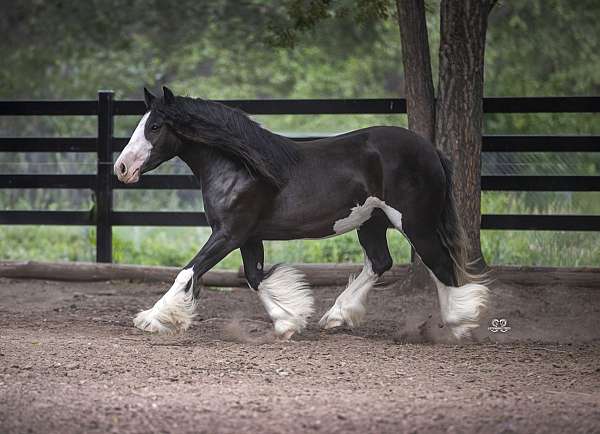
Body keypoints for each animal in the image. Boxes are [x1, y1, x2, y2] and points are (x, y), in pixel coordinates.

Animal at [112, 86, 488, 340]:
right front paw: (288, 322)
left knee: (440, 264)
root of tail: (431, 151)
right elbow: (254, 278)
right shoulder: (248, 237)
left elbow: (188, 272)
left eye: (155, 126)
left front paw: (151, 318)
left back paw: (458, 326)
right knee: (381, 263)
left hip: (415, 223)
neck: (240, 167)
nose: (122, 168)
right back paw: (336, 316)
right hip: (371, 222)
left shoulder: (228, 233)